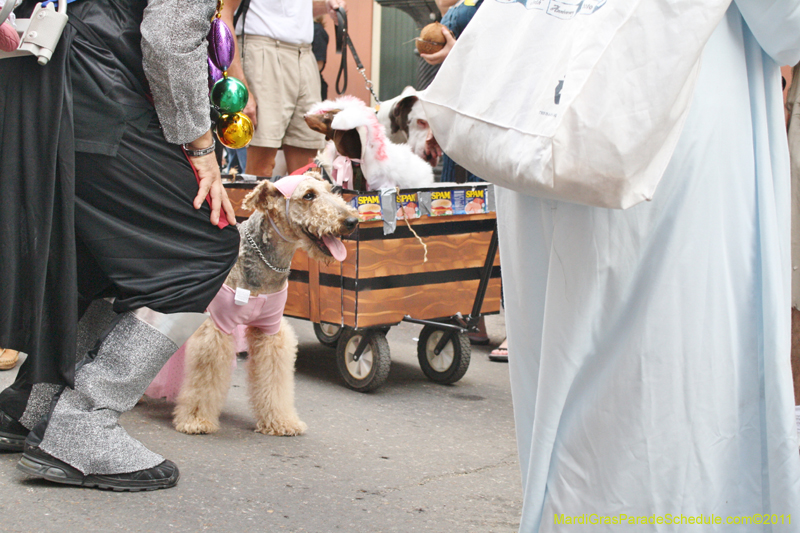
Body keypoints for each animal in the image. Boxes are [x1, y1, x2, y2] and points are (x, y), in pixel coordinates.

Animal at [169, 172, 356, 434]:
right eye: (309, 195)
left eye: (331, 190)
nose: (352, 221)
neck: (265, 263)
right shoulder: (216, 327)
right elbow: (205, 378)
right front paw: (196, 420)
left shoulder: (271, 330)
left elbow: (274, 380)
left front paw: (281, 421)